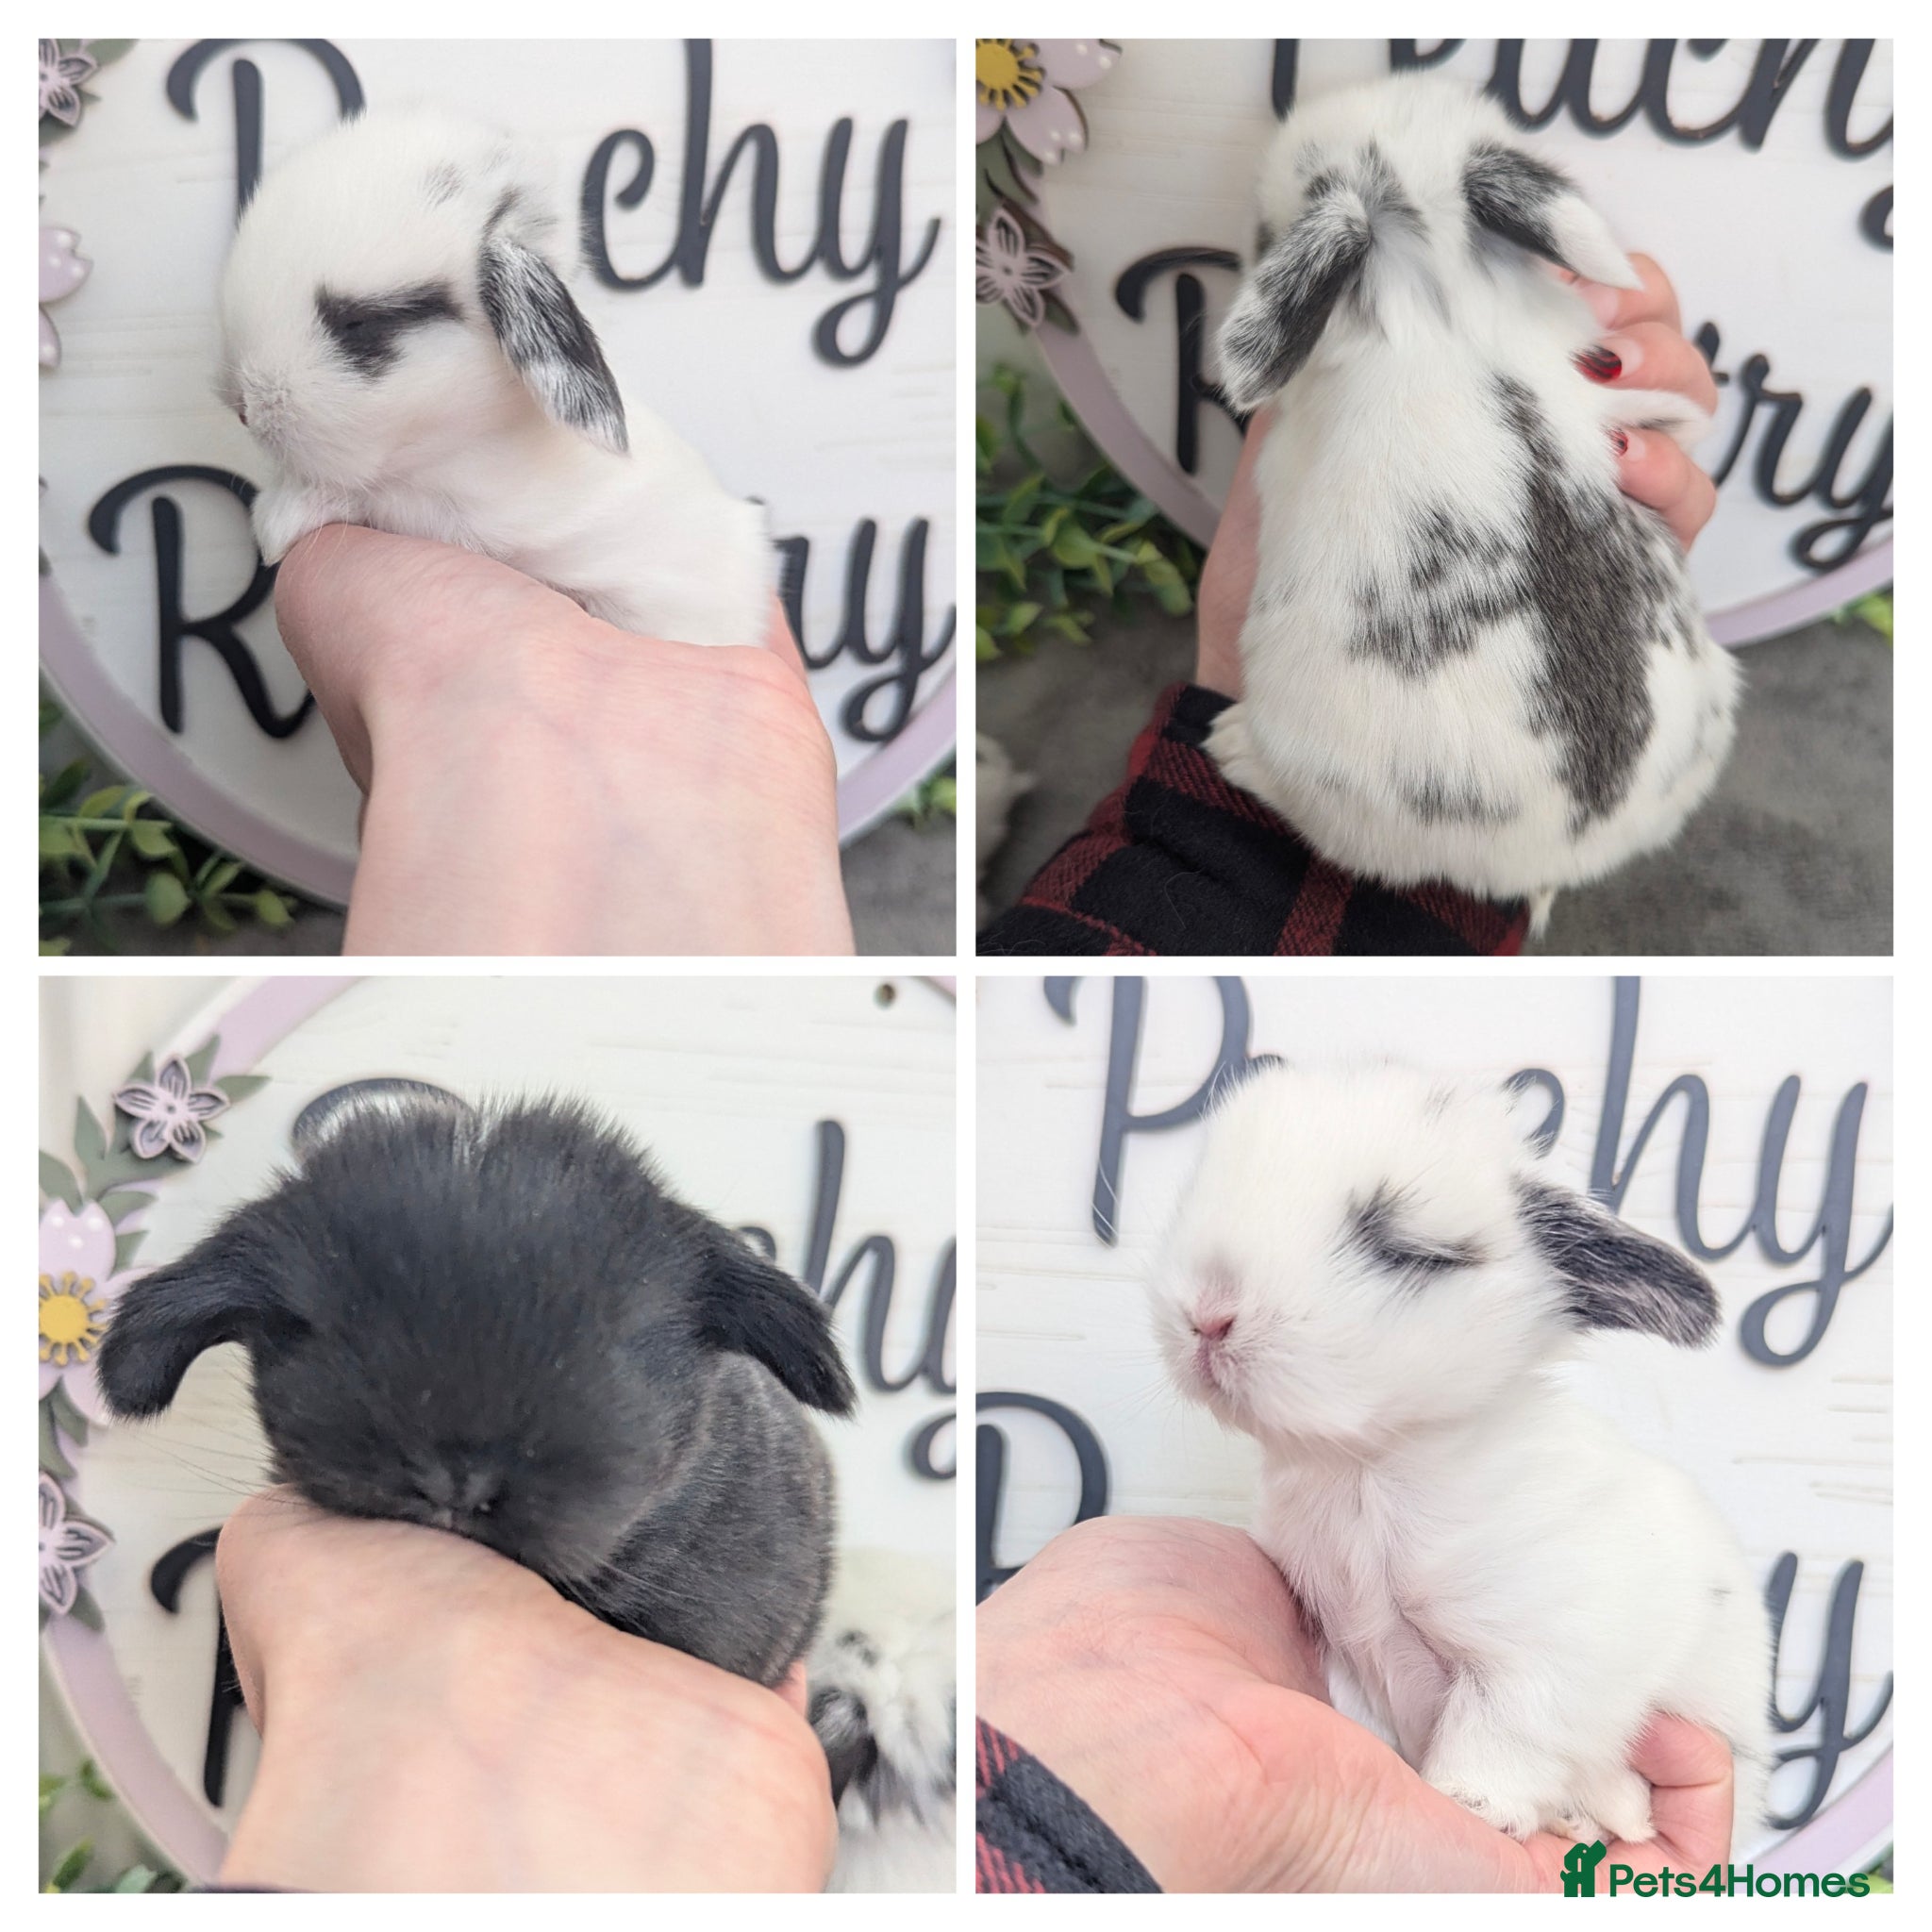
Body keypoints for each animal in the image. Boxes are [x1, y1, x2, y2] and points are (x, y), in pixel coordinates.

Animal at [217, 109, 772, 647]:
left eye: (360, 323)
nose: (243, 408)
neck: (473, 437)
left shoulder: (453, 509)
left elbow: (376, 493)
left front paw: (276, 518)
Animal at [1145, 1063, 1770, 1846]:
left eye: (1412, 1253)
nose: (1208, 1313)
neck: (1366, 1472)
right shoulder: (1346, 1649)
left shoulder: (1558, 1640)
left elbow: (1512, 1725)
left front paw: (1473, 1803)